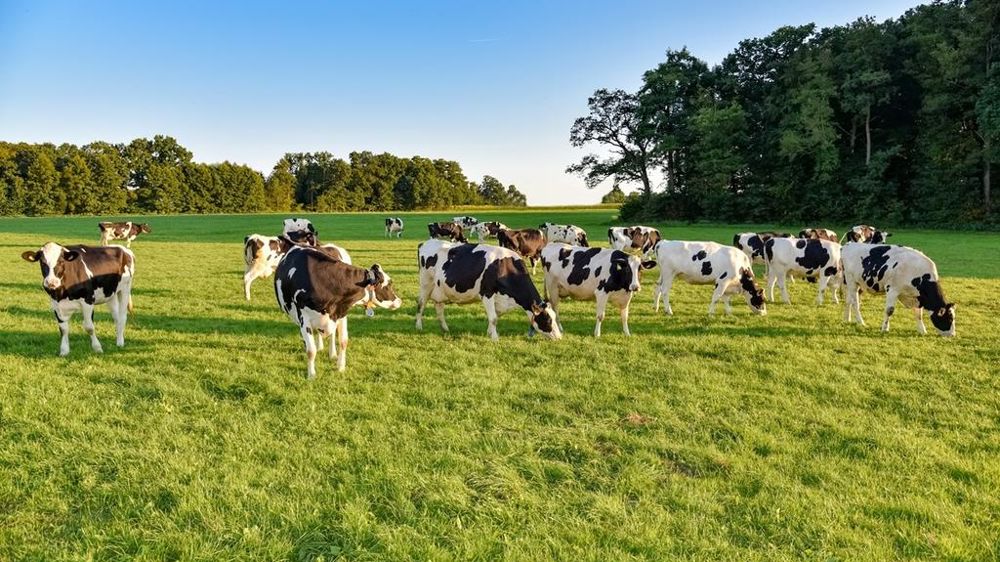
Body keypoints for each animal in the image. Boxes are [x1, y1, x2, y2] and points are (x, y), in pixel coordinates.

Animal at [274, 245, 402, 377]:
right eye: (389, 284)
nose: (399, 301)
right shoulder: (304, 319)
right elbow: (310, 350)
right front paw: (311, 374)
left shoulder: (341, 313)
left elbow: (343, 341)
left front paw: (340, 367)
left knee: (330, 335)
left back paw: (332, 354)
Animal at [416, 239, 562, 341]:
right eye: (548, 320)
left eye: (555, 318)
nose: (560, 337)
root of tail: (425, 243)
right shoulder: (487, 293)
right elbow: (493, 318)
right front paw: (495, 338)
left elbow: (495, 316)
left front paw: (489, 333)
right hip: (425, 283)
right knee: (421, 304)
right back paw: (419, 327)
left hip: (440, 289)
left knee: (439, 307)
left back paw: (445, 329)